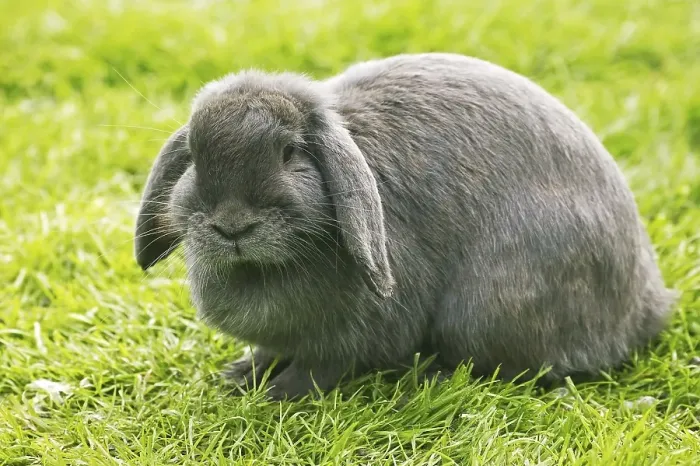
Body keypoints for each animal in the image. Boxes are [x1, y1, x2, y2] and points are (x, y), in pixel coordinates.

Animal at [134, 53, 676, 400]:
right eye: (195, 158)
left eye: (290, 153)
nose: (232, 226)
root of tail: (645, 307)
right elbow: (271, 350)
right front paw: (241, 375)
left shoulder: (355, 333)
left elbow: (319, 366)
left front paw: (278, 395)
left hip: (485, 308)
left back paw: (432, 377)